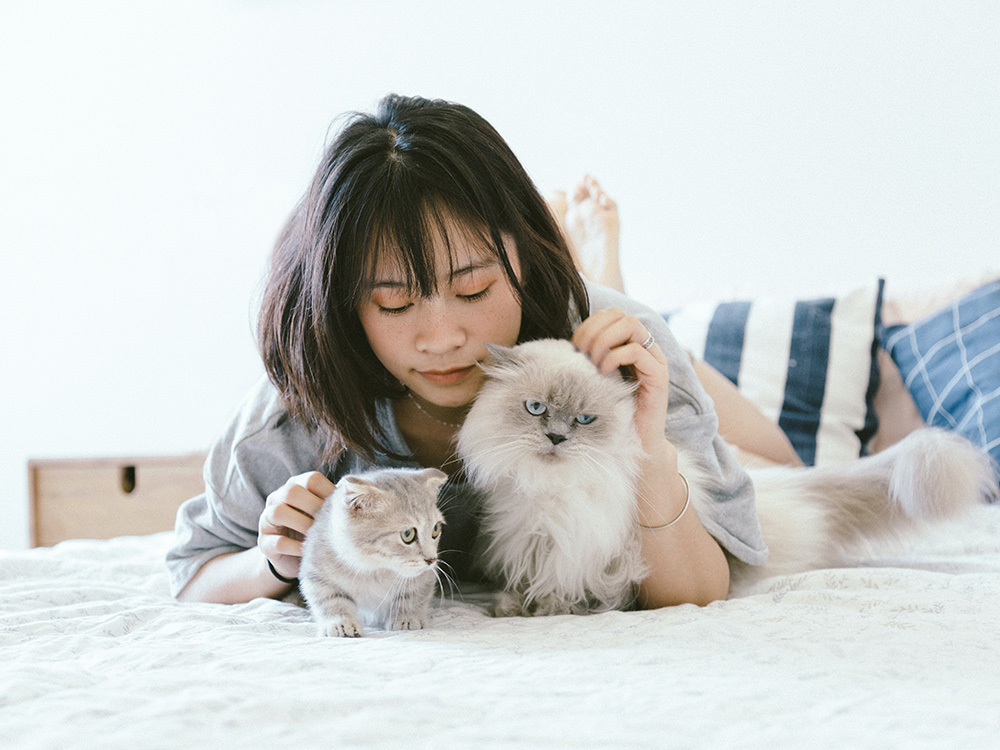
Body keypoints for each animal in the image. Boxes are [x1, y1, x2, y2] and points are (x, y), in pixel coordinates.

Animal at [298, 468, 448, 636]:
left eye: (435, 529)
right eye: (408, 534)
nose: (431, 559)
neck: (375, 569)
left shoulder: (424, 576)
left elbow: (413, 595)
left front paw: (408, 618)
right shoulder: (315, 570)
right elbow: (330, 599)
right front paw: (341, 623)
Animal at [458, 340, 992, 616]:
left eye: (585, 420)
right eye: (535, 408)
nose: (555, 438)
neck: (554, 495)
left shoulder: (590, 550)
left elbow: (574, 587)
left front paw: (558, 609)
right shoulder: (530, 539)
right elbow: (532, 580)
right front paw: (514, 606)